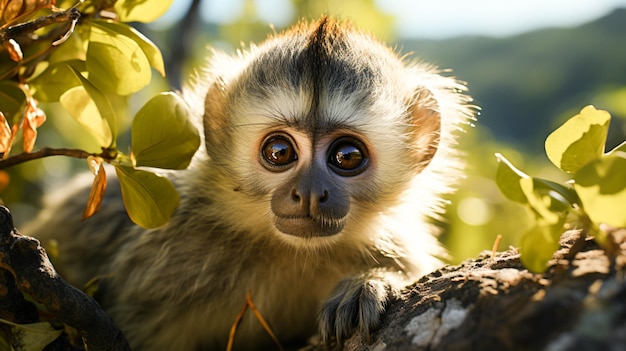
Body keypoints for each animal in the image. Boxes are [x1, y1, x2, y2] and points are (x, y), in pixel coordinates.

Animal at [24, 17, 472, 351]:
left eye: (347, 156)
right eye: (279, 151)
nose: (309, 193)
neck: (291, 253)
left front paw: (367, 286)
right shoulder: (167, 256)